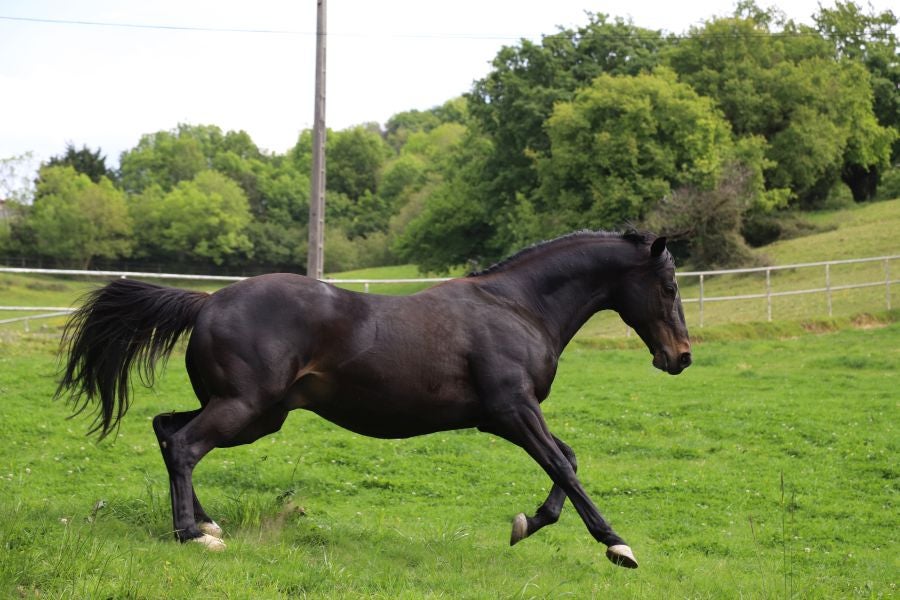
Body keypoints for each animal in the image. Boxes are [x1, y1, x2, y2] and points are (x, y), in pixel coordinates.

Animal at [56, 229, 688, 568]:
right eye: (670, 285)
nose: (680, 356)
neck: (517, 307)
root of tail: (207, 302)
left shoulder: (509, 415)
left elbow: (568, 461)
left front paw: (527, 523)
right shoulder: (512, 410)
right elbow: (563, 462)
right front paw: (618, 546)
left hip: (256, 415)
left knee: (167, 430)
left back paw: (207, 524)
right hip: (245, 409)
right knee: (184, 445)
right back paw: (192, 536)